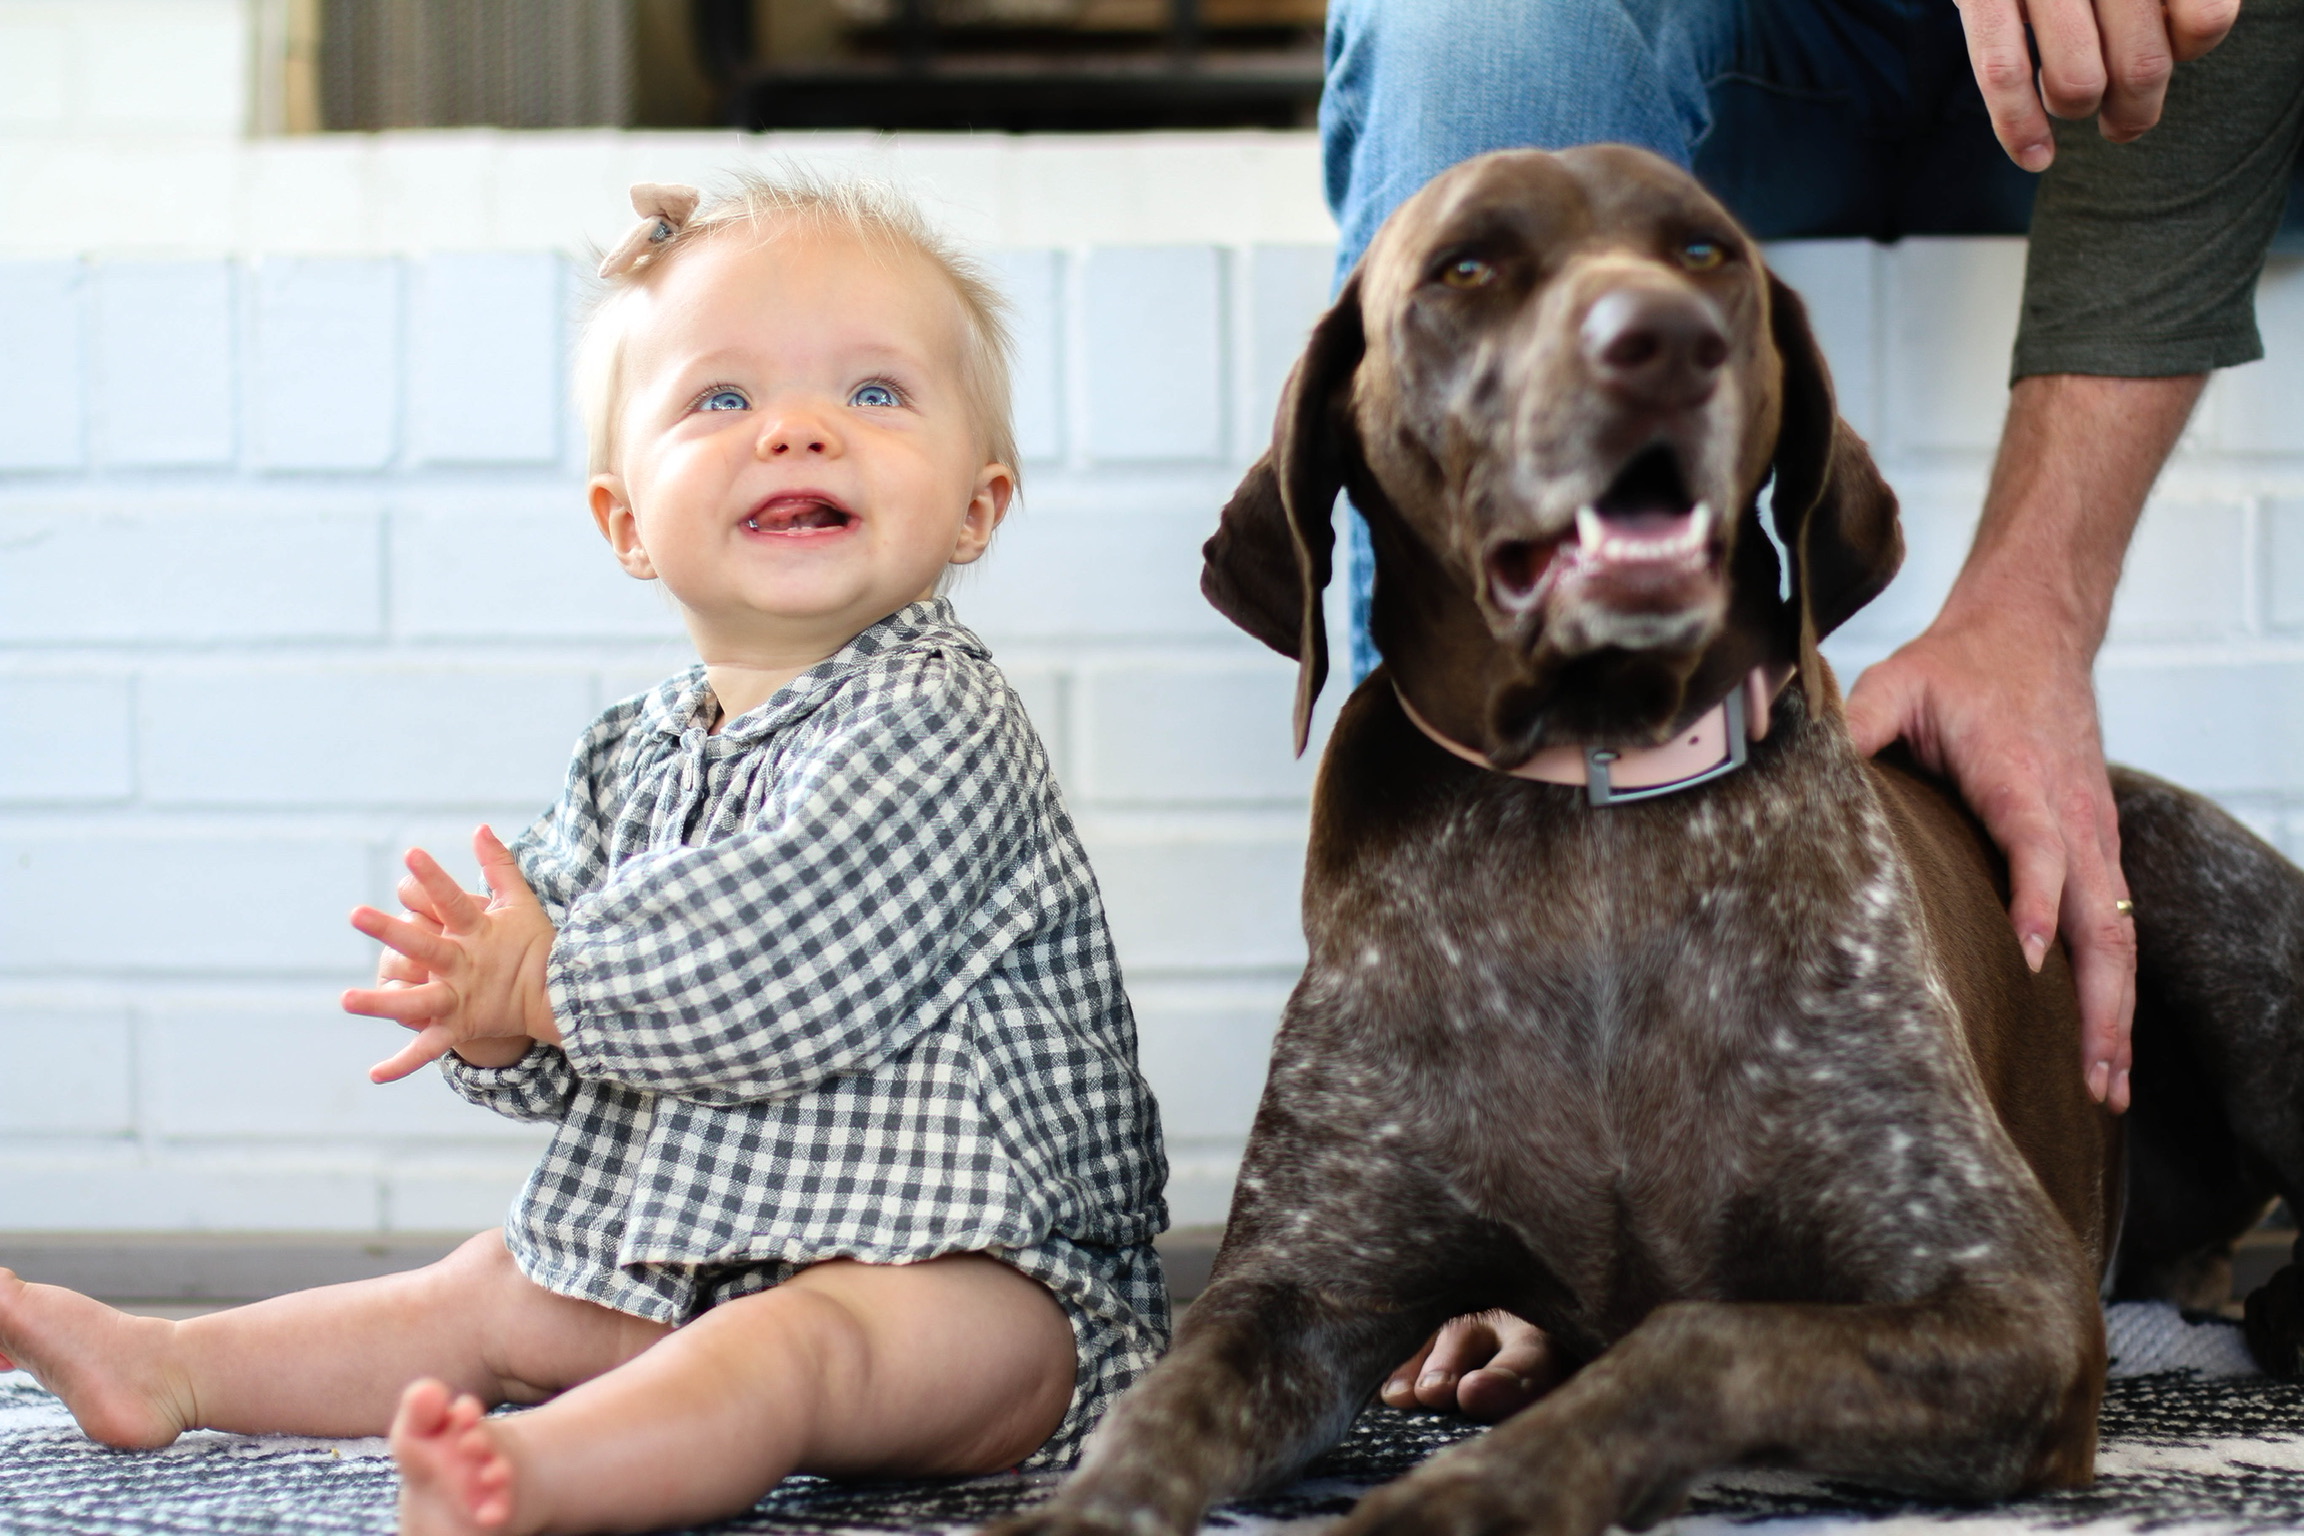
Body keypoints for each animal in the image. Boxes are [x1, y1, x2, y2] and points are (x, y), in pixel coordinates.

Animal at [1013, 147, 2304, 1536]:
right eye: (1466, 267)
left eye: (1704, 254)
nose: (1666, 343)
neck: (1593, 794)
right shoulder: (1295, 1293)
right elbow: (1154, 1413)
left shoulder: (2010, 1297)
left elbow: (1699, 1337)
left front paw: (1477, 1491)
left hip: (2219, 934)